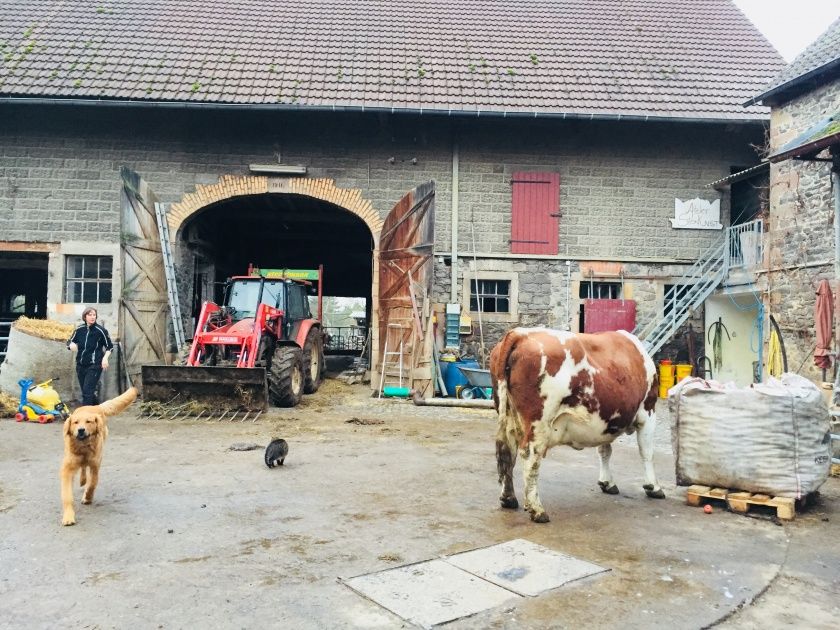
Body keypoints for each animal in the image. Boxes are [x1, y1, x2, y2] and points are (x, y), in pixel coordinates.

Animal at [60, 388, 138, 524]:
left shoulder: (95, 465)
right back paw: (82, 480)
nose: (81, 430)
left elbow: (93, 483)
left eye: (88, 422)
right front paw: (68, 517)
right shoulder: (67, 469)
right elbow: (67, 496)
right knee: (83, 468)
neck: (84, 448)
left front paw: (88, 497)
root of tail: (96, 406)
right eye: (75, 422)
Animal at [488, 326, 668, 524]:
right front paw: (653, 487)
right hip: (539, 421)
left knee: (507, 452)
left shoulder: (605, 418)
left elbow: (604, 450)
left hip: (508, 415)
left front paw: (607, 482)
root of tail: (520, 333)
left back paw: (508, 498)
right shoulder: (648, 411)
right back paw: (537, 510)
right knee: (530, 455)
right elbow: (647, 452)